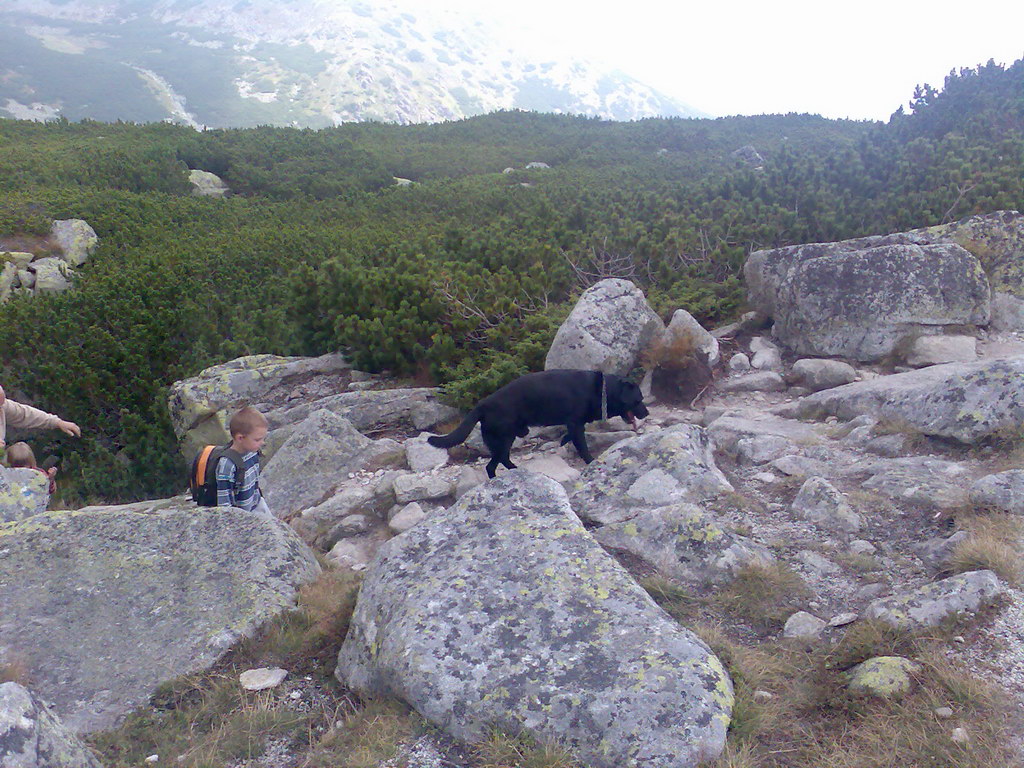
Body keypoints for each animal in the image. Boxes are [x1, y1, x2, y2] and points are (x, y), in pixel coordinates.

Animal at [430, 370, 647, 479]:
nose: (647, 413)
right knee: (492, 466)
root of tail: (482, 405)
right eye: (638, 400)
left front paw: (563, 440)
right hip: (503, 439)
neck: (600, 389)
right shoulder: (576, 423)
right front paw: (590, 462)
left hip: (507, 438)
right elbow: (583, 447)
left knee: (500, 461)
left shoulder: (575, 424)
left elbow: (571, 436)